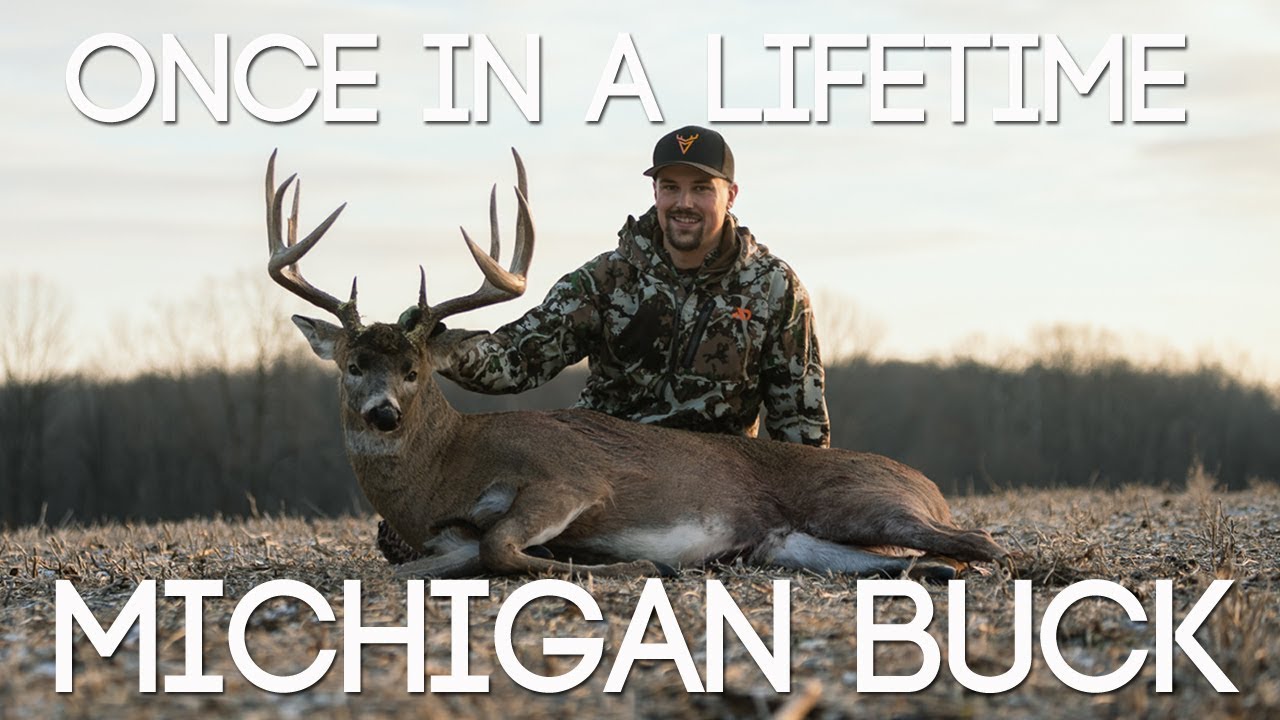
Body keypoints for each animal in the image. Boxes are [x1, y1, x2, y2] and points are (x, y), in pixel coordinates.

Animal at [264, 149, 1007, 581]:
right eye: (353, 365)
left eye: (414, 369)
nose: (383, 413)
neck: (444, 471)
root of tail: (929, 486)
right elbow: (431, 560)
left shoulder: (571, 478)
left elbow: (498, 545)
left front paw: (623, 566)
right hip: (793, 544)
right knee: (922, 555)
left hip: (865, 502)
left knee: (980, 539)